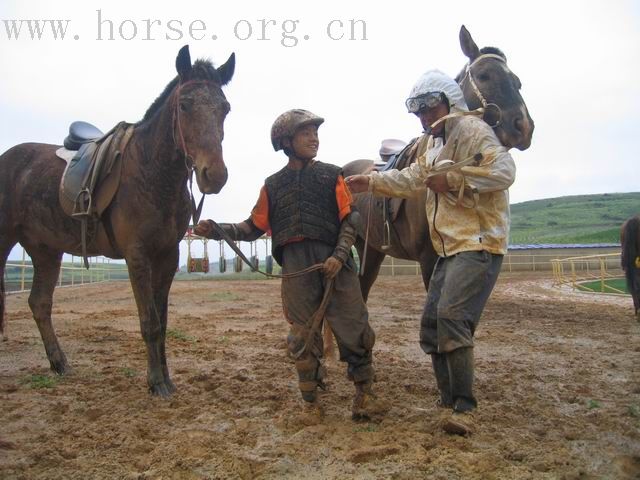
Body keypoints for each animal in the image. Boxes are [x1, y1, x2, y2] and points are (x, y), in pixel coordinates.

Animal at [0, 46, 235, 398]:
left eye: (225, 108)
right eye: (184, 105)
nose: (214, 175)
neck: (153, 173)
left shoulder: (168, 256)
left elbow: (163, 320)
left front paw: (166, 379)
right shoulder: (136, 255)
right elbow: (149, 322)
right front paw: (155, 382)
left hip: (45, 250)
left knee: (39, 303)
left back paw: (60, 363)